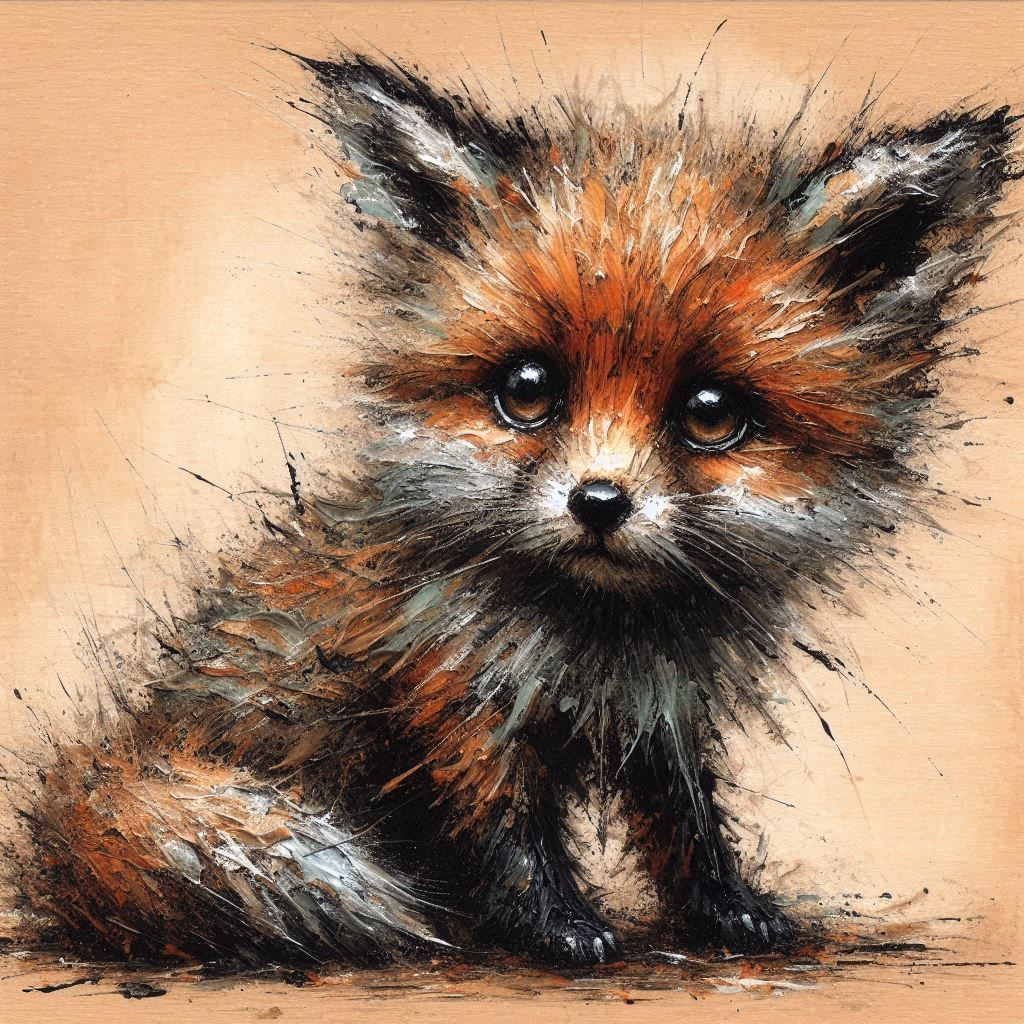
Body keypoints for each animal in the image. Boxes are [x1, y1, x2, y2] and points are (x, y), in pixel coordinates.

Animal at [14, 51, 1018, 968]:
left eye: (710, 413)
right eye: (527, 390)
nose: (599, 502)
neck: (602, 641)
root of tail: (94, 785)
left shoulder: (665, 713)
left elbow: (687, 825)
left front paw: (728, 912)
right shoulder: (461, 702)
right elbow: (509, 838)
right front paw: (561, 930)